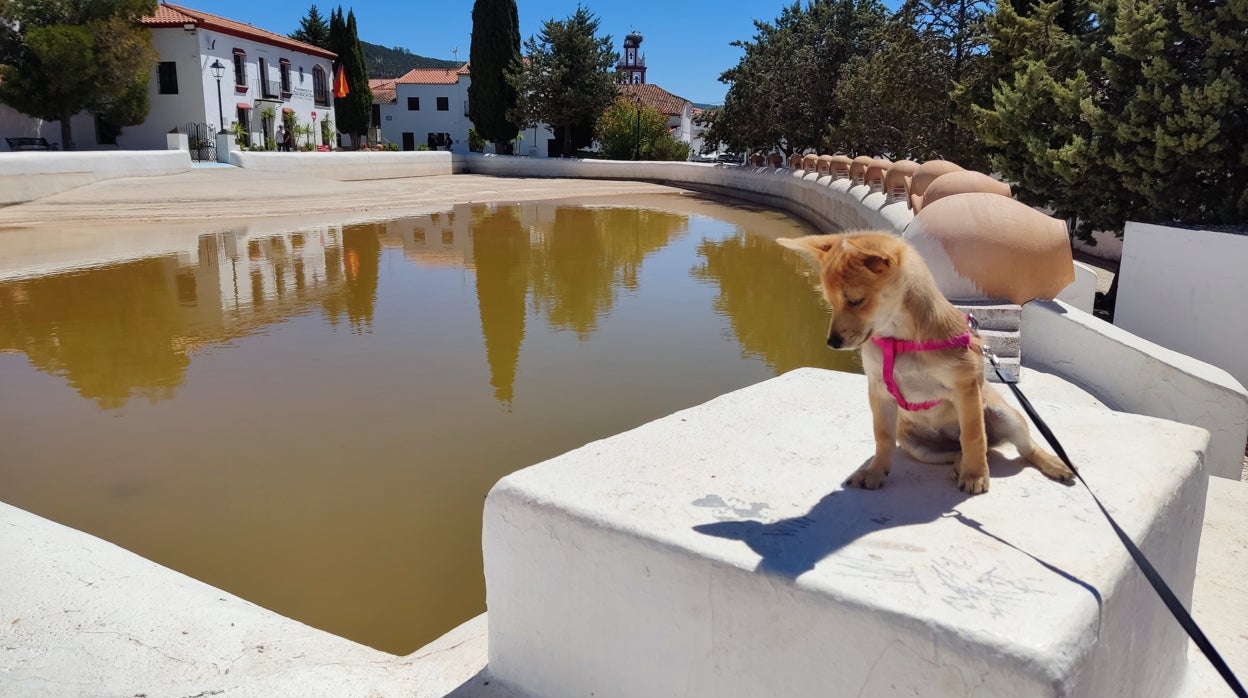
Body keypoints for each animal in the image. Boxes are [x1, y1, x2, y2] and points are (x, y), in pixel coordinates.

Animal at [773, 232, 1068, 494]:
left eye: (856, 300)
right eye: (829, 302)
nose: (832, 342)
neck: (900, 339)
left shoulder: (966, 388)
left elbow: (973, 435)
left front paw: (975, 476)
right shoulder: (879, 391)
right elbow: (882, 436)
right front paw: (875, 472)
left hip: (1006, 416)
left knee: (1017, 447)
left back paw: (1051, 464)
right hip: (919, 447)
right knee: (959, 451)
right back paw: (960, 464)